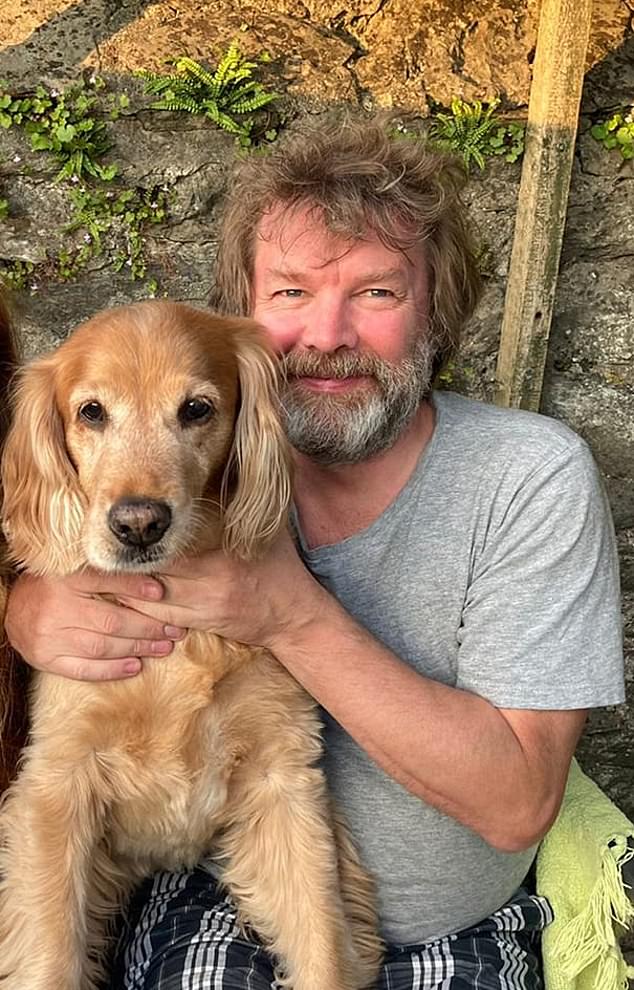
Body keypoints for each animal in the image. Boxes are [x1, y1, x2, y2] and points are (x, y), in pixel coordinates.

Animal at [0, 302, 380, 990]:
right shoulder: (56, 784)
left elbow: (320, 943)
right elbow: (49, 954)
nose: (138, 523)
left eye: (197, 409)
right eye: (91, 412)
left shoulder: (284, 777)